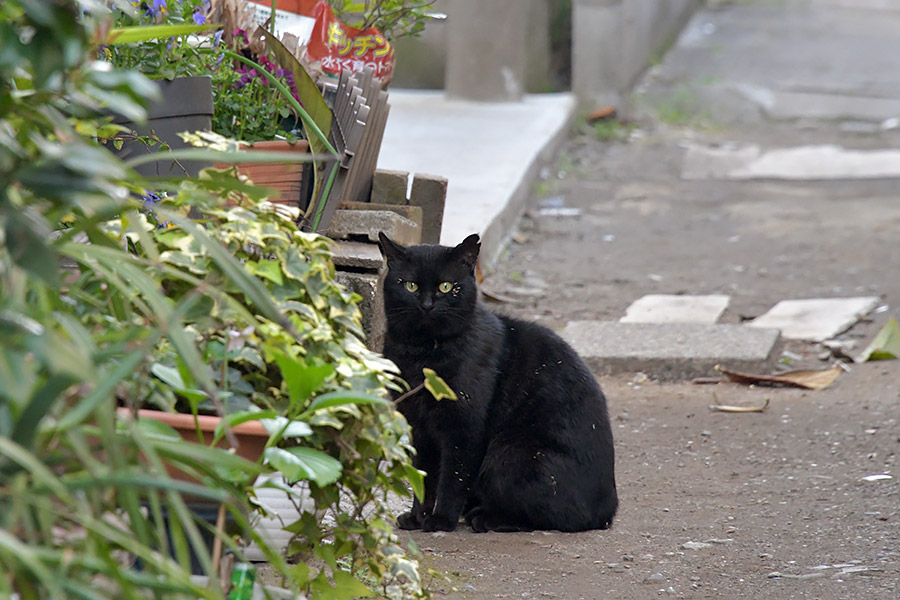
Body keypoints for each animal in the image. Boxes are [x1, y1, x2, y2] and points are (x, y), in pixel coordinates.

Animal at [376, 232, 616, 532]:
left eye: (447, 287)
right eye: (410, 285)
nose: (427, 305)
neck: (422, 353)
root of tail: (608, 510)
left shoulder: (464, 427)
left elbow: (452, 479)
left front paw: (441, 519)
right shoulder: (418, 426)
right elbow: (423, 475)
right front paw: (417, 516)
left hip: (509, 455)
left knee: (557, 516)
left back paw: (484, 517)